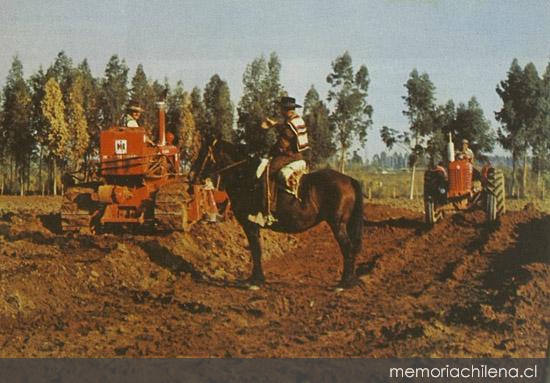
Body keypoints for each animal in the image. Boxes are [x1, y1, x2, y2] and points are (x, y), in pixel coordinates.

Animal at [194, 140, 366, 290]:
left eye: (204, 154)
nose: (193, 177)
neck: (245, 179)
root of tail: (349, 180)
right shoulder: (253, 226)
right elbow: (257, 250)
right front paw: (255, 279)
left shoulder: (249, 224)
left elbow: (256, 250)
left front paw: (255, 281)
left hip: (338, 224)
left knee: (347, 248)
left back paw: (344, 283)